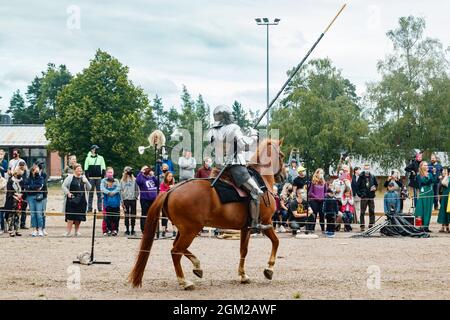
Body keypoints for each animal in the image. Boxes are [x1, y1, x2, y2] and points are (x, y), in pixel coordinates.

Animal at [129, 139, 284, 288]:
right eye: (282, 155)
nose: (283, 176)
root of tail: (171, 190)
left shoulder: (245, 228)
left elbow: (243, 250)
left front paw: (243, 275)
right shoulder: (266, 222)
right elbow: (276, 241)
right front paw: (269, 269)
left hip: (184, 230)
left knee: (178, 248)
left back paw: (197, 266)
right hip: (190, 230)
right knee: (176, 251)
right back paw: (184, 282)